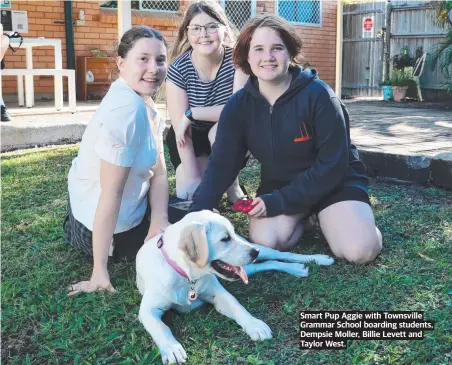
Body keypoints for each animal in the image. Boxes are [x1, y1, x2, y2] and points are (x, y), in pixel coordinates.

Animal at [136, 209, 334, 362]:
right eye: (225, 239)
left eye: (231, 233)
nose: (255, 252)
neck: (188, 276)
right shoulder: (147, 311)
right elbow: (161, 327)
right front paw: (172, 348)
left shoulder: (218, 293)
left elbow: (237, 307)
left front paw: (255, 325)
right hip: (248, 267)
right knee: (267, 263)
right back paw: (296, 268)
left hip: (257, 252)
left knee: (279, 254)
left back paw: (316, 259)